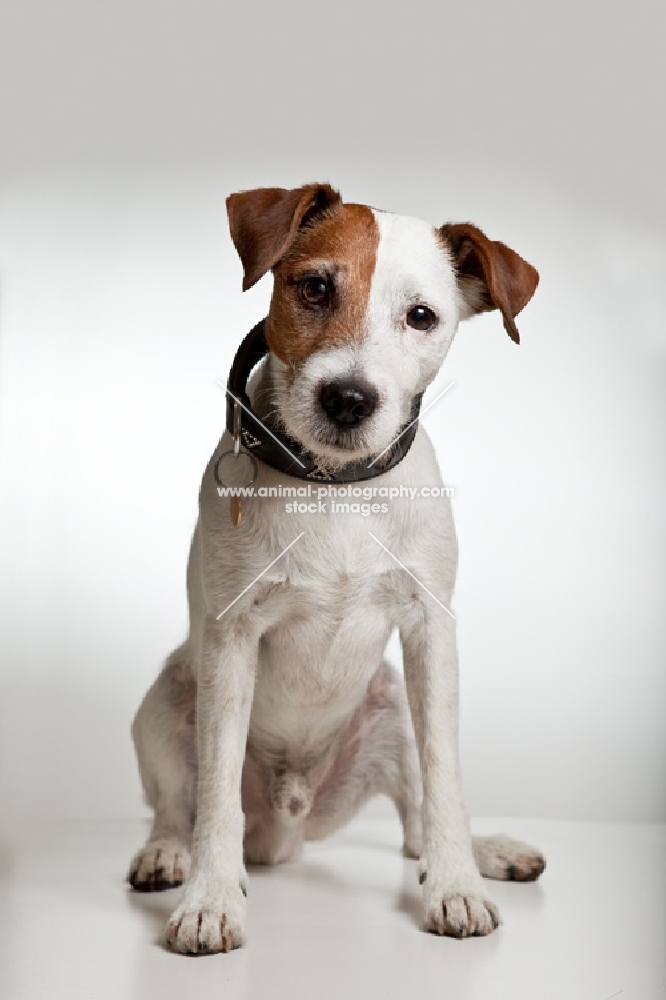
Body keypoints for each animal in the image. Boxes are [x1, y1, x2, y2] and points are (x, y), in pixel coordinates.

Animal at [127, 182, 544, 952]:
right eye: (315, 287)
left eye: (421, 316)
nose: (349, 398)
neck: (336, 486)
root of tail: (288, 827)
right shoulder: (232, 640)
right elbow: (216, 794)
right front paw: (210, 901)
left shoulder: (430, 632)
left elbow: (446, 782)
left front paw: (456, 886)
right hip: (166, 703)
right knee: (177, 807)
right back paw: (169, 854)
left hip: (392, 709)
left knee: (416, 822)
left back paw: (484, 853)